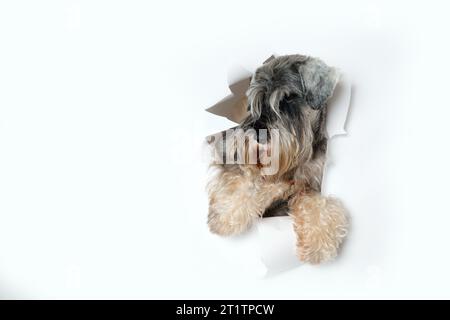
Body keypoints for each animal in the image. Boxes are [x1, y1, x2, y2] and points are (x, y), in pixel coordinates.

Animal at [206, 55, 350, 264]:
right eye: (257, 99)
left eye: (289, 98)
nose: (257, 134)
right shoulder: (230, 158)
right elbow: (244, 181)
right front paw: (225, 217)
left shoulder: (313, 183)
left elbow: (315, 202)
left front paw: (318, 245)